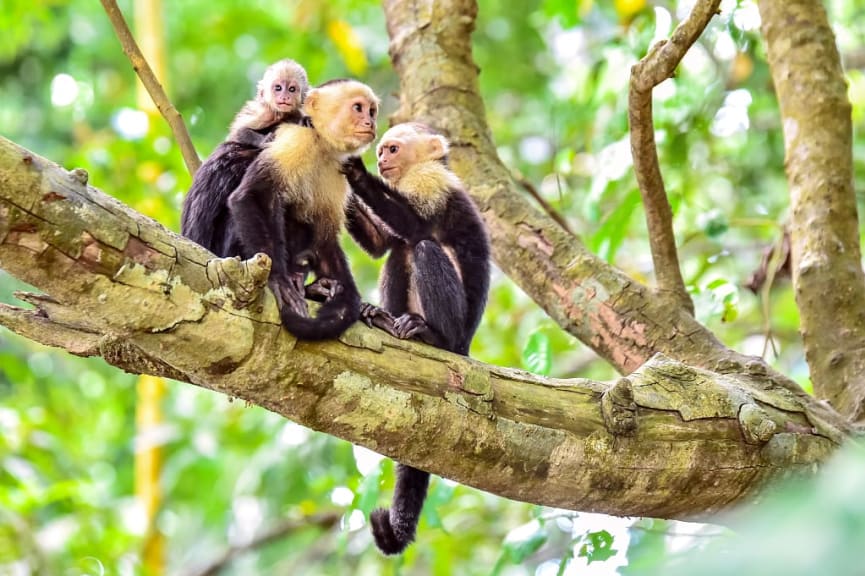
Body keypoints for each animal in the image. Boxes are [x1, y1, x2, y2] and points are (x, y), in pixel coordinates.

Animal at [226, 76, 378, 338]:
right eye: (358, 108)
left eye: (372, 111)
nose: (370, 122)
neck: (320, 143)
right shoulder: (296, 140)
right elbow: (251, 196)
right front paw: (278, 279)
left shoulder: (339, 171)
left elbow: (324, 239)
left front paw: (349, 302)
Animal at [340, 124, 490, 556]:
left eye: (392, 149)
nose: (379, 159)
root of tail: (465, 346)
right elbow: (382, 244)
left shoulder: (431, 180)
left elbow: (416, 226)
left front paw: (355, 174)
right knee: (398, 253)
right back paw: (384, 320)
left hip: (457, 331)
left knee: (421, 247)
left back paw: (431, 335)